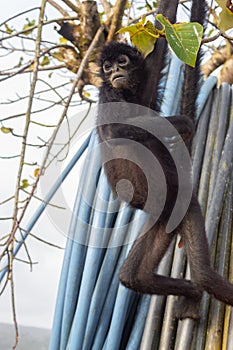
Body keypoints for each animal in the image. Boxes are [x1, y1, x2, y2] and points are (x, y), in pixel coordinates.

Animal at [96, 13, 233, 322]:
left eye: (121, 62)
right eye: (107, 67)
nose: (114, 72)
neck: (126, 95)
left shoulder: (143, 85)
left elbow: (161, 36)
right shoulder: (107, 93)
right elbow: (116, 130)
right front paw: (182, 122)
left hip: (183, 206)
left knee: (188, 275)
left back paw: (193, 291)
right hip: (164, 216)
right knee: (138, 277)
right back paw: (193, 291)